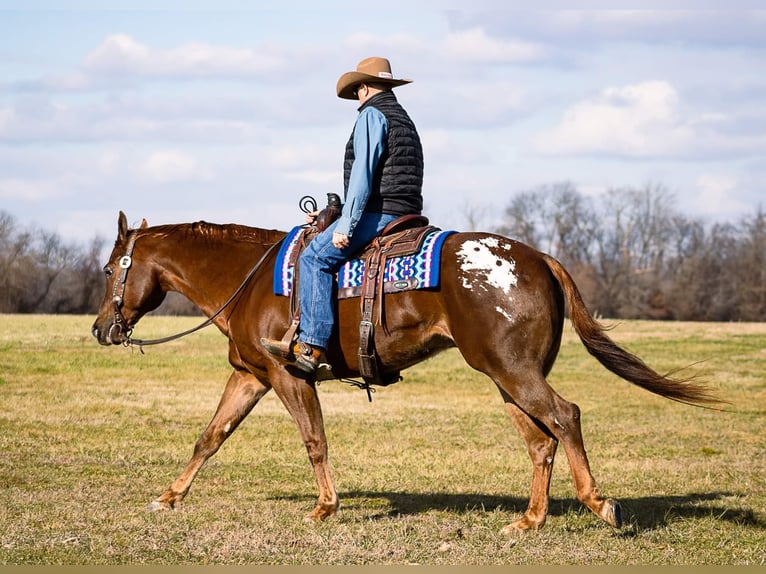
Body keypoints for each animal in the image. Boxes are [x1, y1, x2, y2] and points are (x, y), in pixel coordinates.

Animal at [91, 212, 720, 536]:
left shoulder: (290, 375)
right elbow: (211, 436)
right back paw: (529, 520)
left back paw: (599, 503)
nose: (100, 329)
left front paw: (325, 507)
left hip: (514, 372)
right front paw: (169, 498)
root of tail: (538, 258)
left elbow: (314, 440)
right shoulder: (251, 376)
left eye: (109, 267)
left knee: (565, 416)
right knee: (540, 440)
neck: (248, 278)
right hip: (507, 378)